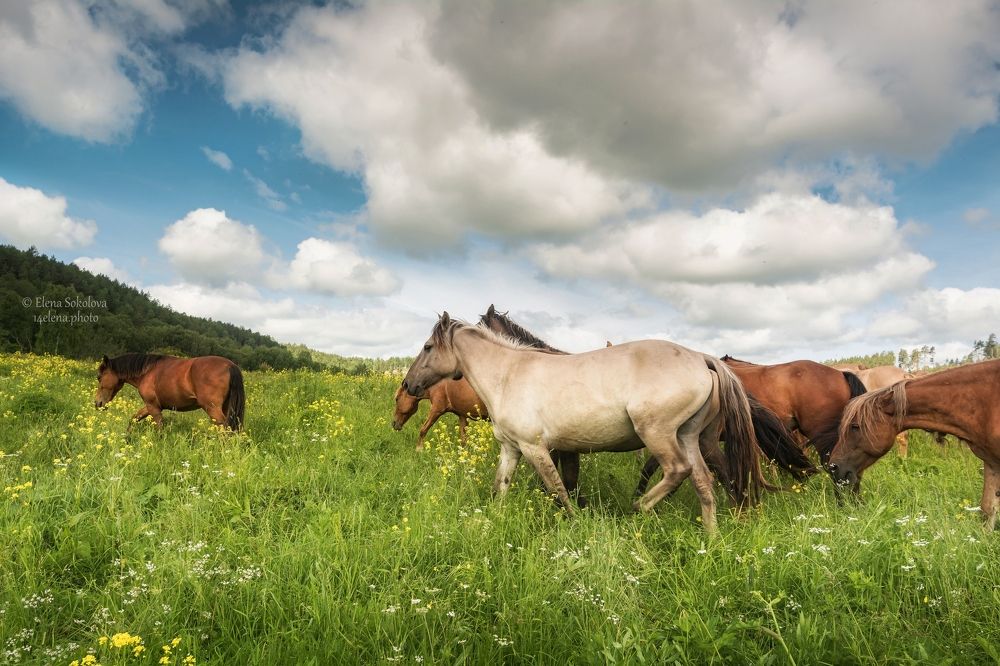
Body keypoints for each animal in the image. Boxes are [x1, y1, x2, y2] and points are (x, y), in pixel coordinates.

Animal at [95, 353, 245, 431]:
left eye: (99, 377)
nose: (97, 403)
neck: (148, 371)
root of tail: (230, 366)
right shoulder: (151, 406)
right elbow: (133, 419)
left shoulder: (153, 407)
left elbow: (160, 429)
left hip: (213, 409)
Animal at [404, 313, 783, 532]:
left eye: (427, 347)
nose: (409, 385)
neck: (509, 374)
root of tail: (701, 358)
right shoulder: (511, 448)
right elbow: (501, 486)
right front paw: (492, 522)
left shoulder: (535, 447)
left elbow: (558, 488)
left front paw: (575, 522)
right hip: (689, 437)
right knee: (705, 483)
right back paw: (711, 538)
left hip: (658, 433)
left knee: (678, 471)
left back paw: (639, 508)